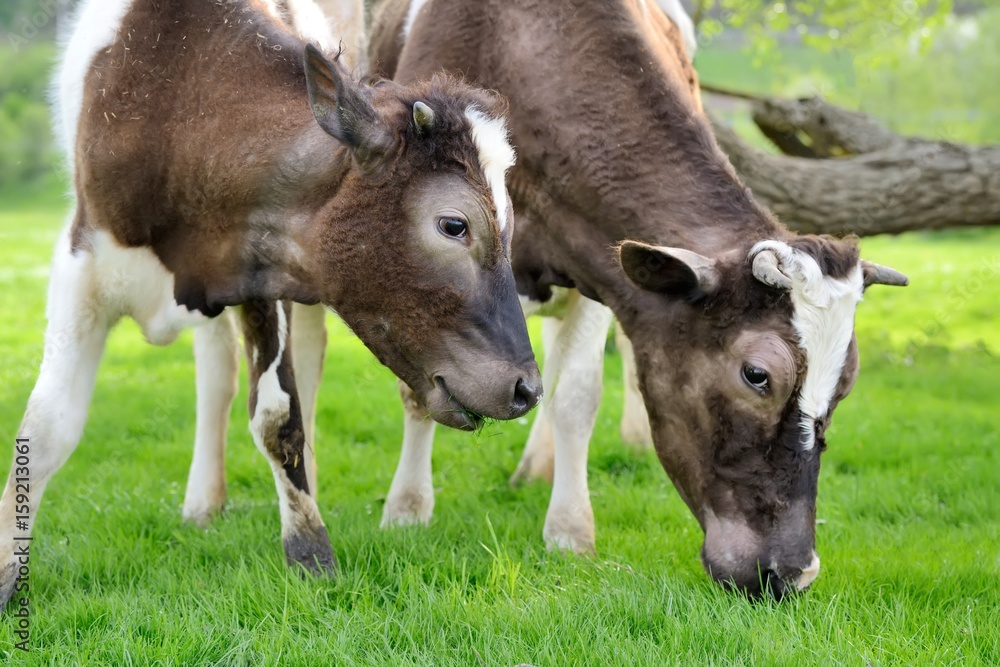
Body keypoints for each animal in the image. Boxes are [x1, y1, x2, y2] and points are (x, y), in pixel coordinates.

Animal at [0, 0, 544, 612]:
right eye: (454, 225)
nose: (528, 388)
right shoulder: (80, 266)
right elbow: (45, 427)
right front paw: (6, 570)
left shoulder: (261, 271)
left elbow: (280, 418)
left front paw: (309, 549)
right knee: (214, 377)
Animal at [368, 0, 908, 600]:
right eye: (757, 375)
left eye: (846, 383)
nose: (793, 573)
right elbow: (419, 389)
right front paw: (406, 510)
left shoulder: (598, 278)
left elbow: (576, 396)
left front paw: (569, 531)